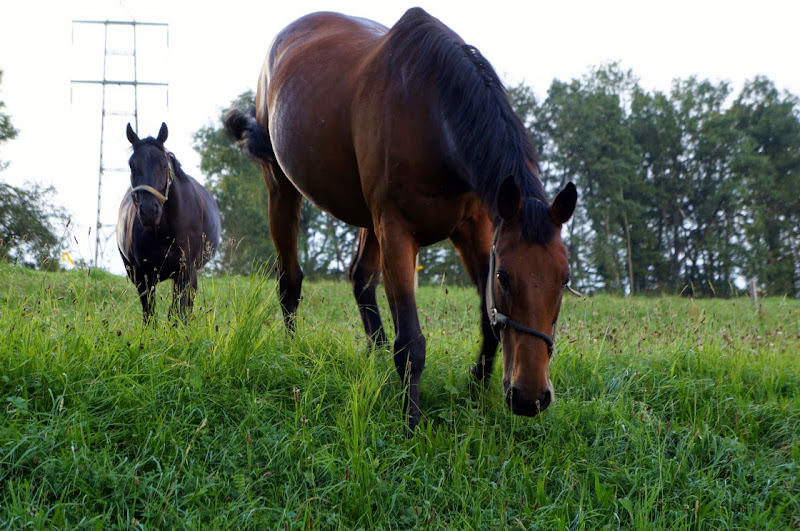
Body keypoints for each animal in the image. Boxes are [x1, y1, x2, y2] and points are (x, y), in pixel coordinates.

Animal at [117, 123, 222, 324]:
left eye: (164, 165)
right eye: (131, 165)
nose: (149, 211)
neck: (164, 231)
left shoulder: (185, 271)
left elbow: (178, 312)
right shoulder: (142, 275)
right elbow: (149, 315)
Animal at [225, 7, 576, 432]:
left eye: (564, 279)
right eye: (505, 277)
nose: (530, 397)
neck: (431, 113)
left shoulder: (475, 229)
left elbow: (486, 320)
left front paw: (476, 392)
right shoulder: (396, 231)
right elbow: (411, 341)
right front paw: (411, 423)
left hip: (367, 218)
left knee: (361, 278)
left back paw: (374, 363)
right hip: (281, 188)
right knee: (290, 280)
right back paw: (293, 352)